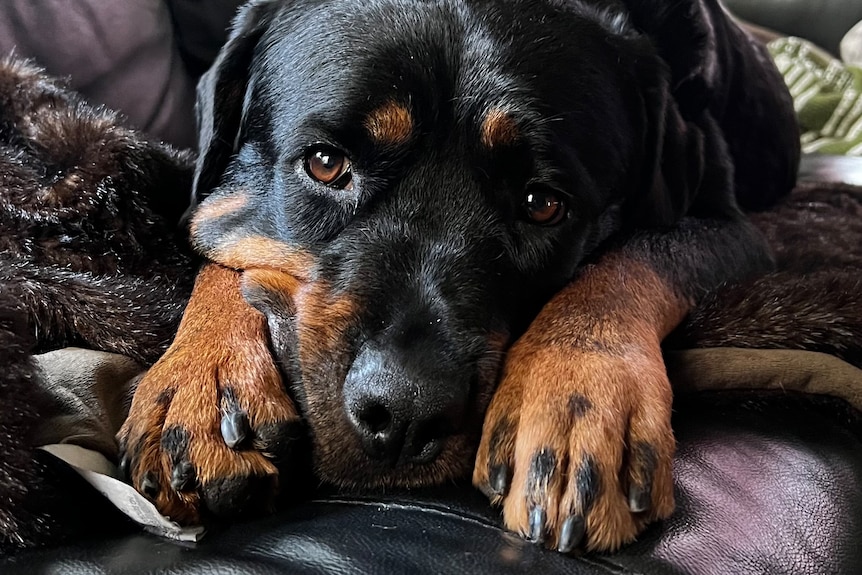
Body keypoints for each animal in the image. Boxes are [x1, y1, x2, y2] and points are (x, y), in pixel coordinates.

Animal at [116, 0, 804, 552]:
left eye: (543, 203)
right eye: (325, 163)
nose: (404, 412)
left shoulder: (729, 229)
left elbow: (629, 258)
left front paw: (579, 397)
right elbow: (218, 235)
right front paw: (201, 377)